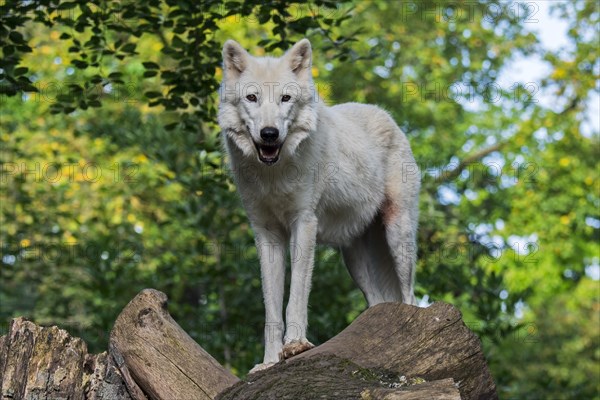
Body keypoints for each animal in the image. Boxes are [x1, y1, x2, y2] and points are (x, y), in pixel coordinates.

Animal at [218, 39, 420, 370]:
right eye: (252, 97)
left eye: (286, 98)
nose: (269, 134)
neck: (273, 174)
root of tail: (385, 114)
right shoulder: (266, 234)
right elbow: (271, 309)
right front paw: (269, 362)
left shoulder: (304, 223)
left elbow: (296, 297)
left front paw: (295, 346)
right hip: (353, 259)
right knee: (377, 300)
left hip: (398, 235)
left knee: (410, 296)